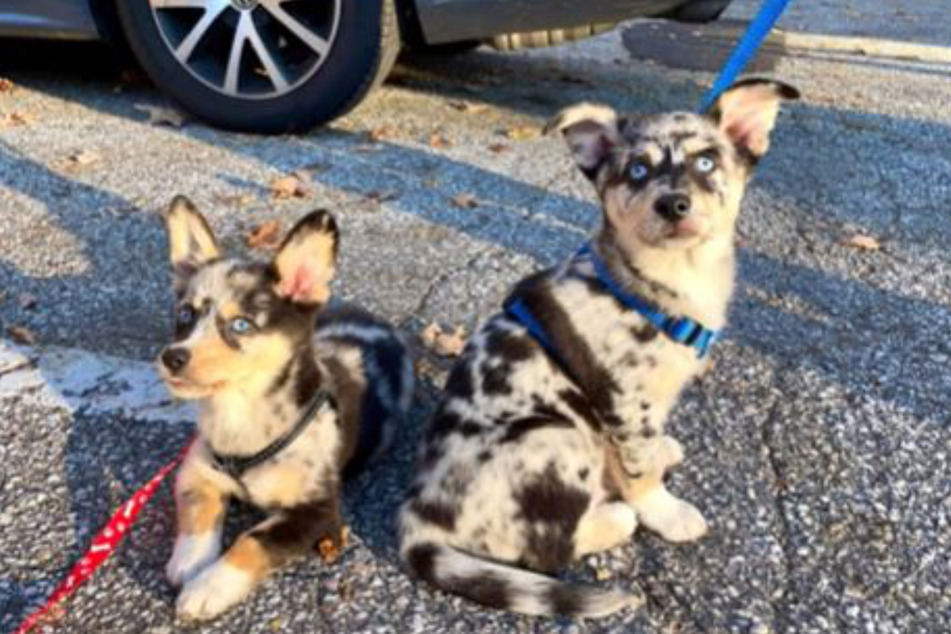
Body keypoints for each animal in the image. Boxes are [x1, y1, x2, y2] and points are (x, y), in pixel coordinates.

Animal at [158, 198, 414, 616]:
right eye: (184, 315)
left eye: (241, 325)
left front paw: (207, 587)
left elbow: (251, 541)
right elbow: (198, 510)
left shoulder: (317, 512)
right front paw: (191, 561)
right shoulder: (197, 471)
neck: (243, 416)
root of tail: (377, 321)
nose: (172, 358)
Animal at [398, 76, 800, 616]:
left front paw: (661, 451)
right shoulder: (626, 402)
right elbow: (639, 472)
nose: (672, 204)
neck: (662, 283)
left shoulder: (636, 410)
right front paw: (664, 511)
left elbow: (641, 451)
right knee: (546, 549)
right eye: (637, 170)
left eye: (706, 162)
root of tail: (419, 518)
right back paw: (613, 518)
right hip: (556, 437)